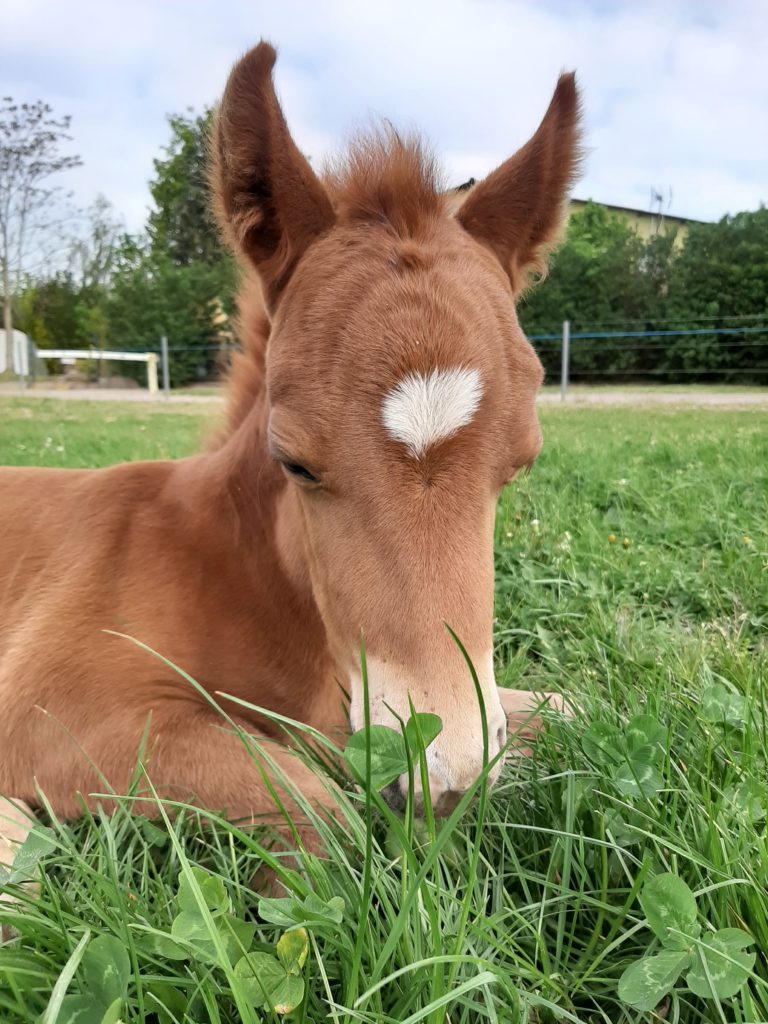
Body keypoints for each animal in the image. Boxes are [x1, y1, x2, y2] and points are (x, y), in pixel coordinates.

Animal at [0, 41, 577, 856]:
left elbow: (576, 708)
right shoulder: (48, 709)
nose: (443, 783)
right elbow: (316, 817)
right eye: (295, 463)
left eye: (520, 465)